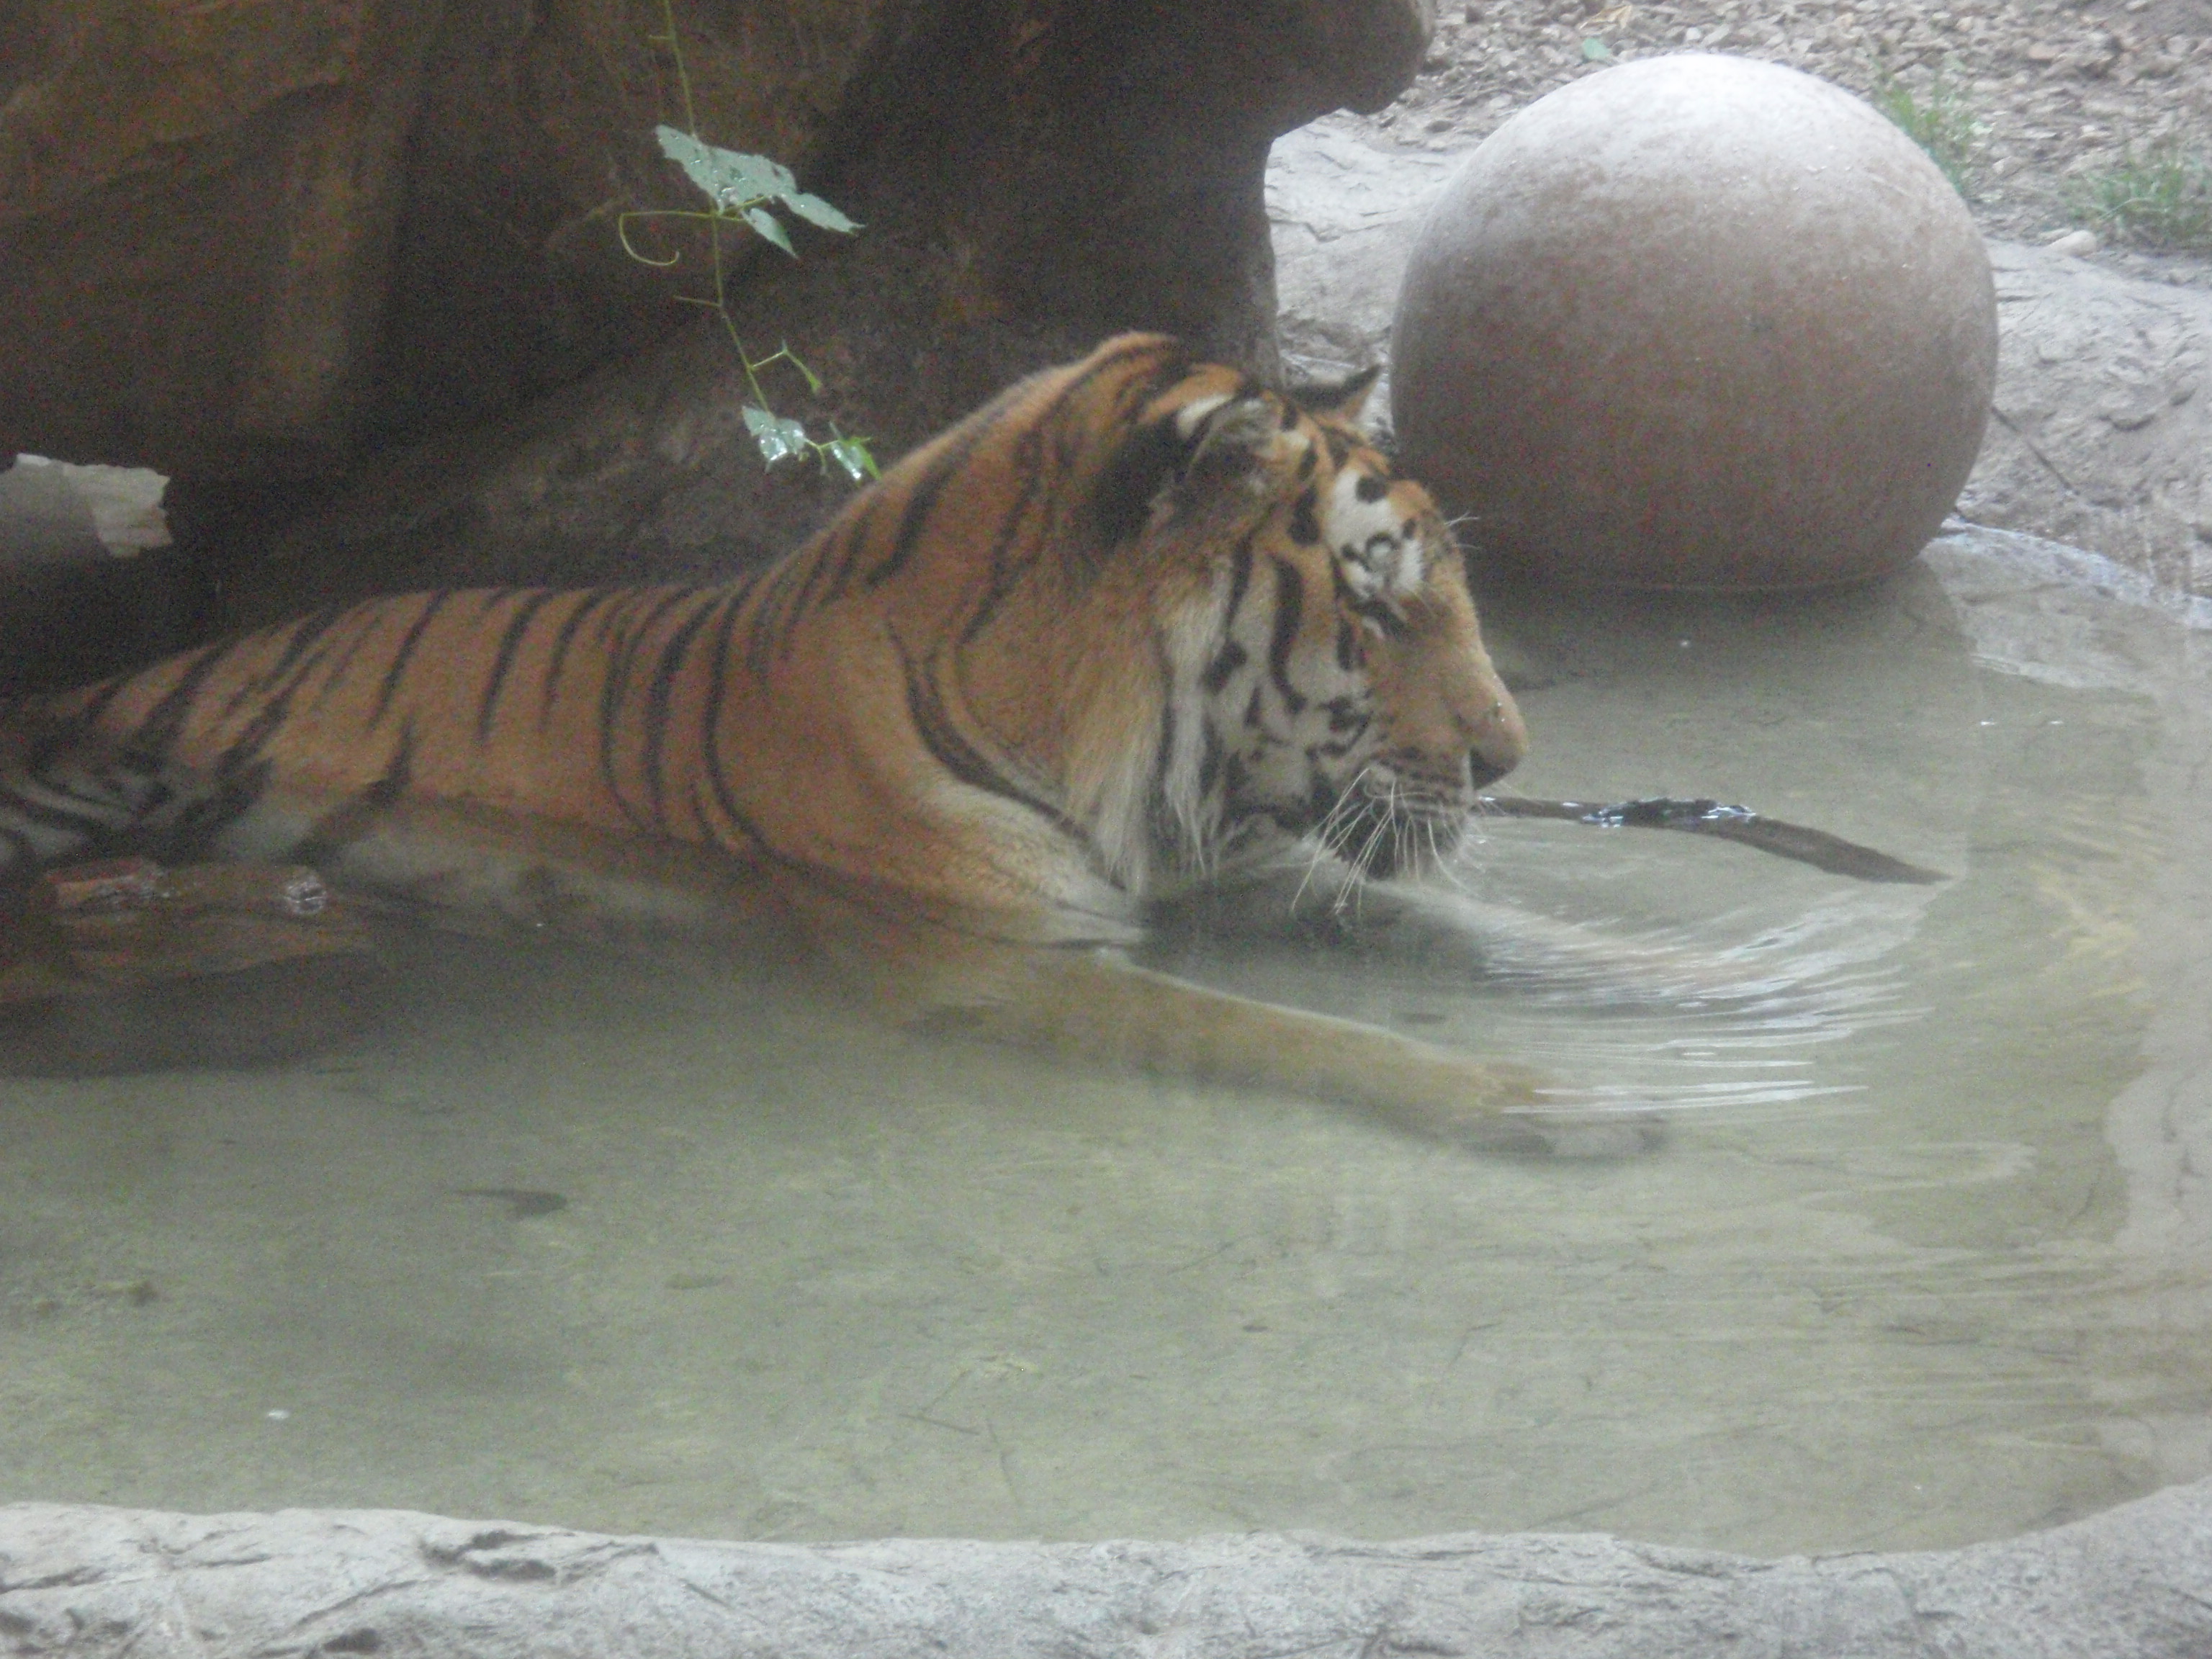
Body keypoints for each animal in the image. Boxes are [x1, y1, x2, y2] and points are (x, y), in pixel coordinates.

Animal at [0, 333, 1588, 1149]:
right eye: (1378, 609)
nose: (1512, 760)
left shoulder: (1221, 872)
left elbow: (1486, 934)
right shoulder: (988, 955)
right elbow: (1272, 1027)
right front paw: (1543, 1095)